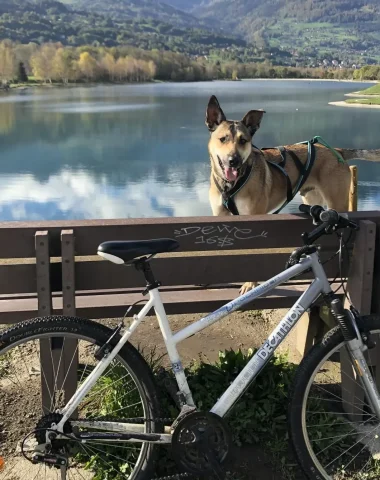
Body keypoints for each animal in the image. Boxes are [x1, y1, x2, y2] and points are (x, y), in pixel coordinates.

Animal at [206, 94, 380, 294]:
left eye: (243, 141)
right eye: (223, 139)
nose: (233, 161)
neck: (231, 184)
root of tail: (338, 150)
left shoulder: (254, 218)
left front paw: (250, 284)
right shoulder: (219, 217)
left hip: (337, 203)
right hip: (312, 199)